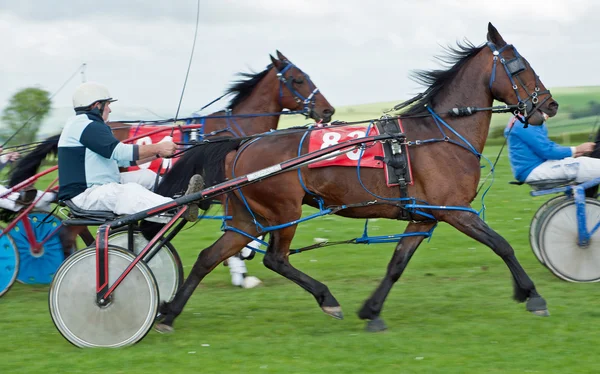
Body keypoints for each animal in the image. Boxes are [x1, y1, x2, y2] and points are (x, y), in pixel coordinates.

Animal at [152, 23, 560, 334]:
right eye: (520, 67)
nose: (550, 104)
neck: (438, 134)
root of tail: (243, 143)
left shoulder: (424, 216)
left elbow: (397, 263)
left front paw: (372, 311)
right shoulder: (454, 210)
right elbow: (501, 245)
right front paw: (533, 295)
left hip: (248, 218)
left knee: (209, 256)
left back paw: (169, 313)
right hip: (283, 212)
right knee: (276, 260)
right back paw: (327, 299)